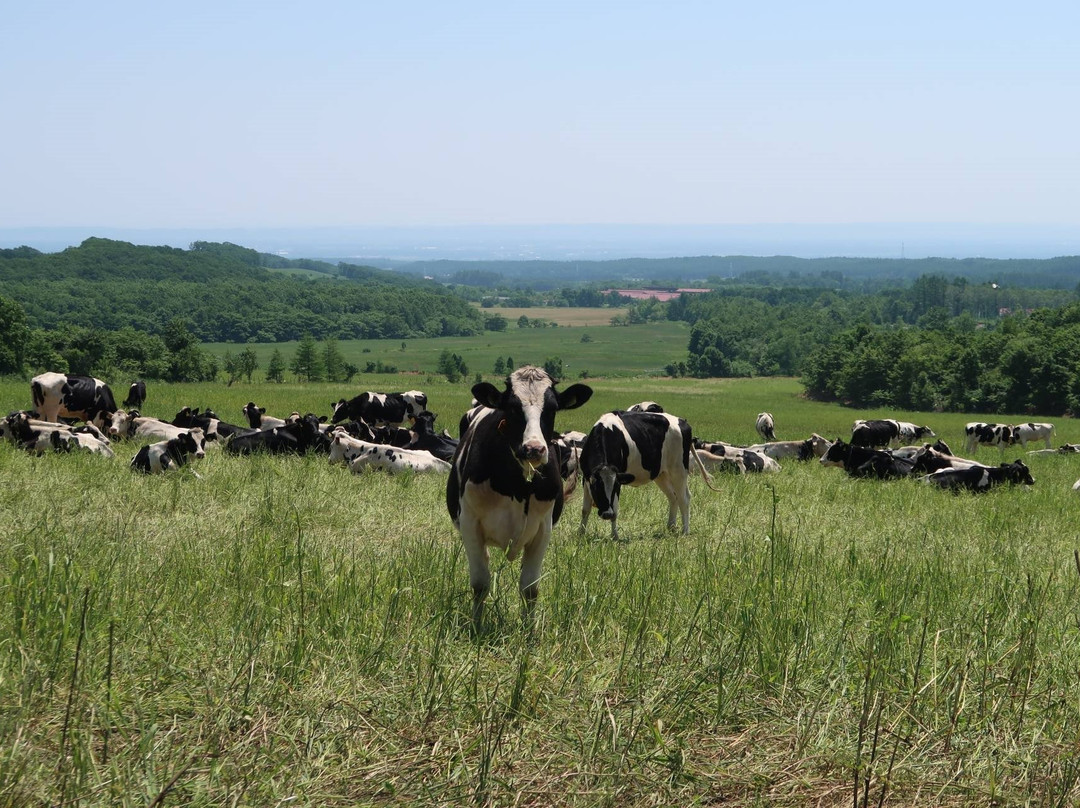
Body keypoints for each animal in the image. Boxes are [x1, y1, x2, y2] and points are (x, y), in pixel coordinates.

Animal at [449, 369, 600, 626]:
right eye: (512, 408)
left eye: (552, 408)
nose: (534, 449)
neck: (516, 486)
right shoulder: (470, 524)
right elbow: (480, 584)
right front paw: (476, 626)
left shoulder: (543, 529)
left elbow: (530, 588)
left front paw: (529, 629)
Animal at [578, 410, 695, 542]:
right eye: (597, 487)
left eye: (614, 487)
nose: (607, 514)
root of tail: (683, 421)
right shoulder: (586, 478)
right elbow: (585, 509)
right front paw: (581, 534)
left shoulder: (619, 479)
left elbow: (615, 509)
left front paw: (615, 536)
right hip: (661, 475)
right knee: (673, 496)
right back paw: (671, 526)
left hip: (679, 471)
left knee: (684, 498)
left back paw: (685, 531)